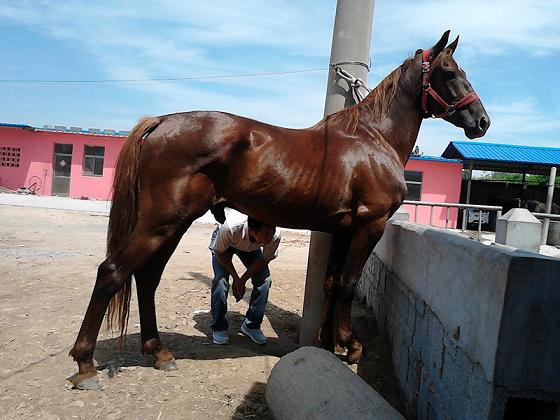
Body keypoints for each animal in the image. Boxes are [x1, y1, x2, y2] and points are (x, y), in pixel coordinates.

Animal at [69, 31, 490, 388]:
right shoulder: (370, 226)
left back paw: (158, 352)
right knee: (112, 272)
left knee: (147, 278)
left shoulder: (342, 231)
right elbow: (348, 284)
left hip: (173, 225)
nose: (482, 121)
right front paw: (350, 346)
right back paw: (86, 364)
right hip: (161, 223)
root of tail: (161, 122)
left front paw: (325, 344)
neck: (372, 139)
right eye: (449, 72)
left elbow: (331, 283)